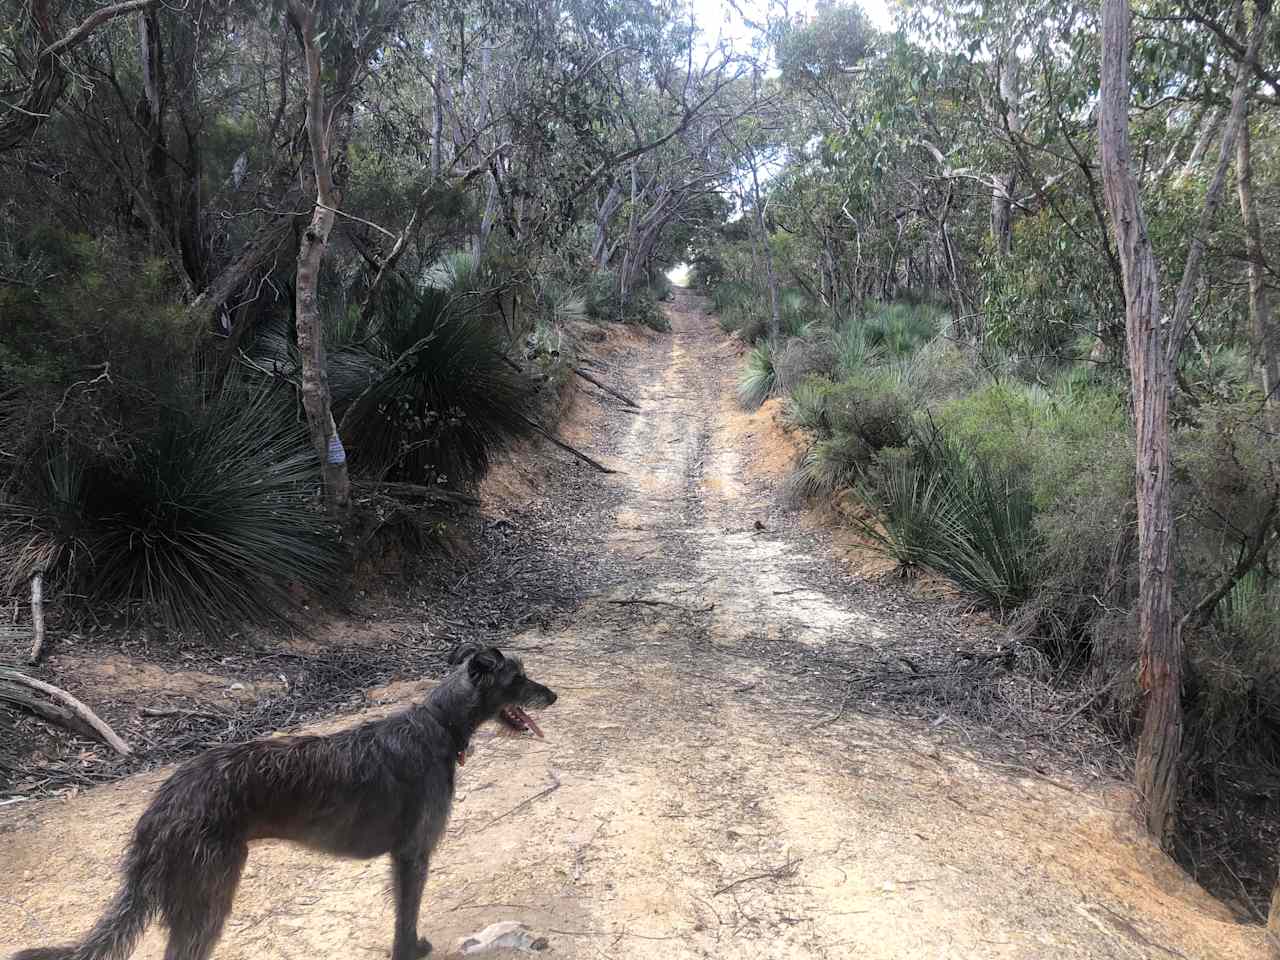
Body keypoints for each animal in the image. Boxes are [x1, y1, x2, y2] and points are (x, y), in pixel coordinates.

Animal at [11, 642, 555, 960]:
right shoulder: (412, 855)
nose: (553, 696)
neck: (438, 724)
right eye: (517, 678)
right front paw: (412, 948)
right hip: (208, 895)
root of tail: (163, 801)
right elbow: (406, 917)